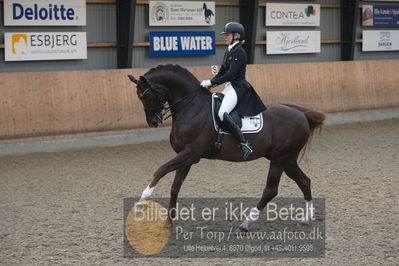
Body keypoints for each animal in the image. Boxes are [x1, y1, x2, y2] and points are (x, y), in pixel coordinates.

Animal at [128, 64, 324, 231]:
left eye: (144, 96)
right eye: (139, 97)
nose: (153, 122)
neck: (192, 107)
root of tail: (301, 113)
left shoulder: (190, 154)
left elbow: (160, 170)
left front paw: (141, 203)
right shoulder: (186, 158)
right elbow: (175, 187)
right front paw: (168, 222)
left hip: (279, 159)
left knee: (271, 190)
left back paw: (245, 224)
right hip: (287, 159)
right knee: (304, 181)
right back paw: (305, 219)